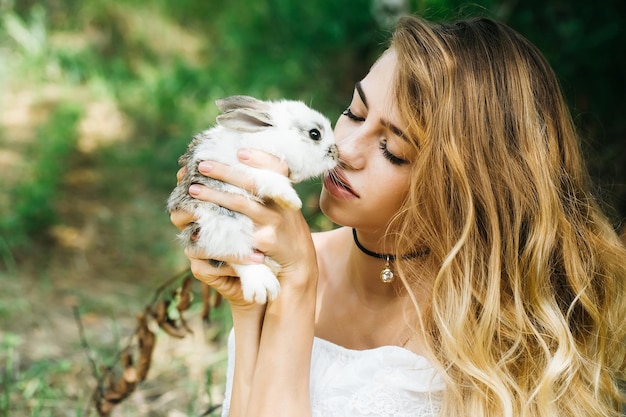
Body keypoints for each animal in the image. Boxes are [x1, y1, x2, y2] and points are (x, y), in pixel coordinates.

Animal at [167, 94, 336, 302]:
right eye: (315, 134)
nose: (335, 152)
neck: (269, 139)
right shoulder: (246, 166)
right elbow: (270, 179)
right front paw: (291, 200)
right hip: (224, 220)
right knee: (235, 253)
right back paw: (263, 286)